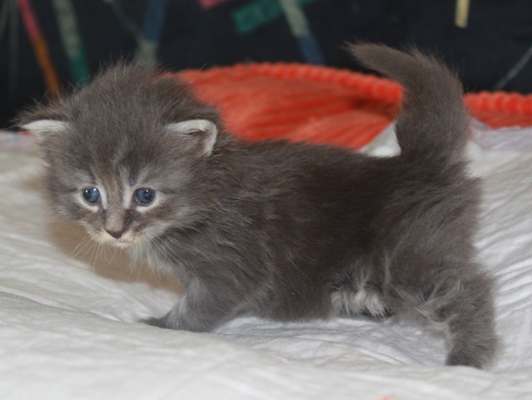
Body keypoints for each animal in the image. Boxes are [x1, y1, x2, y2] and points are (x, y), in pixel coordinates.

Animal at [17, 44, 498, 368]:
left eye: (145, 195)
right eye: (90, 194)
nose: (114, 230)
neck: (207, 194)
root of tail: (415, 162)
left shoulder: (234, 265)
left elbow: (199, 308)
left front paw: (162, 327)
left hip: (410, 250)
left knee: (466, 288)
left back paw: (469, 357)